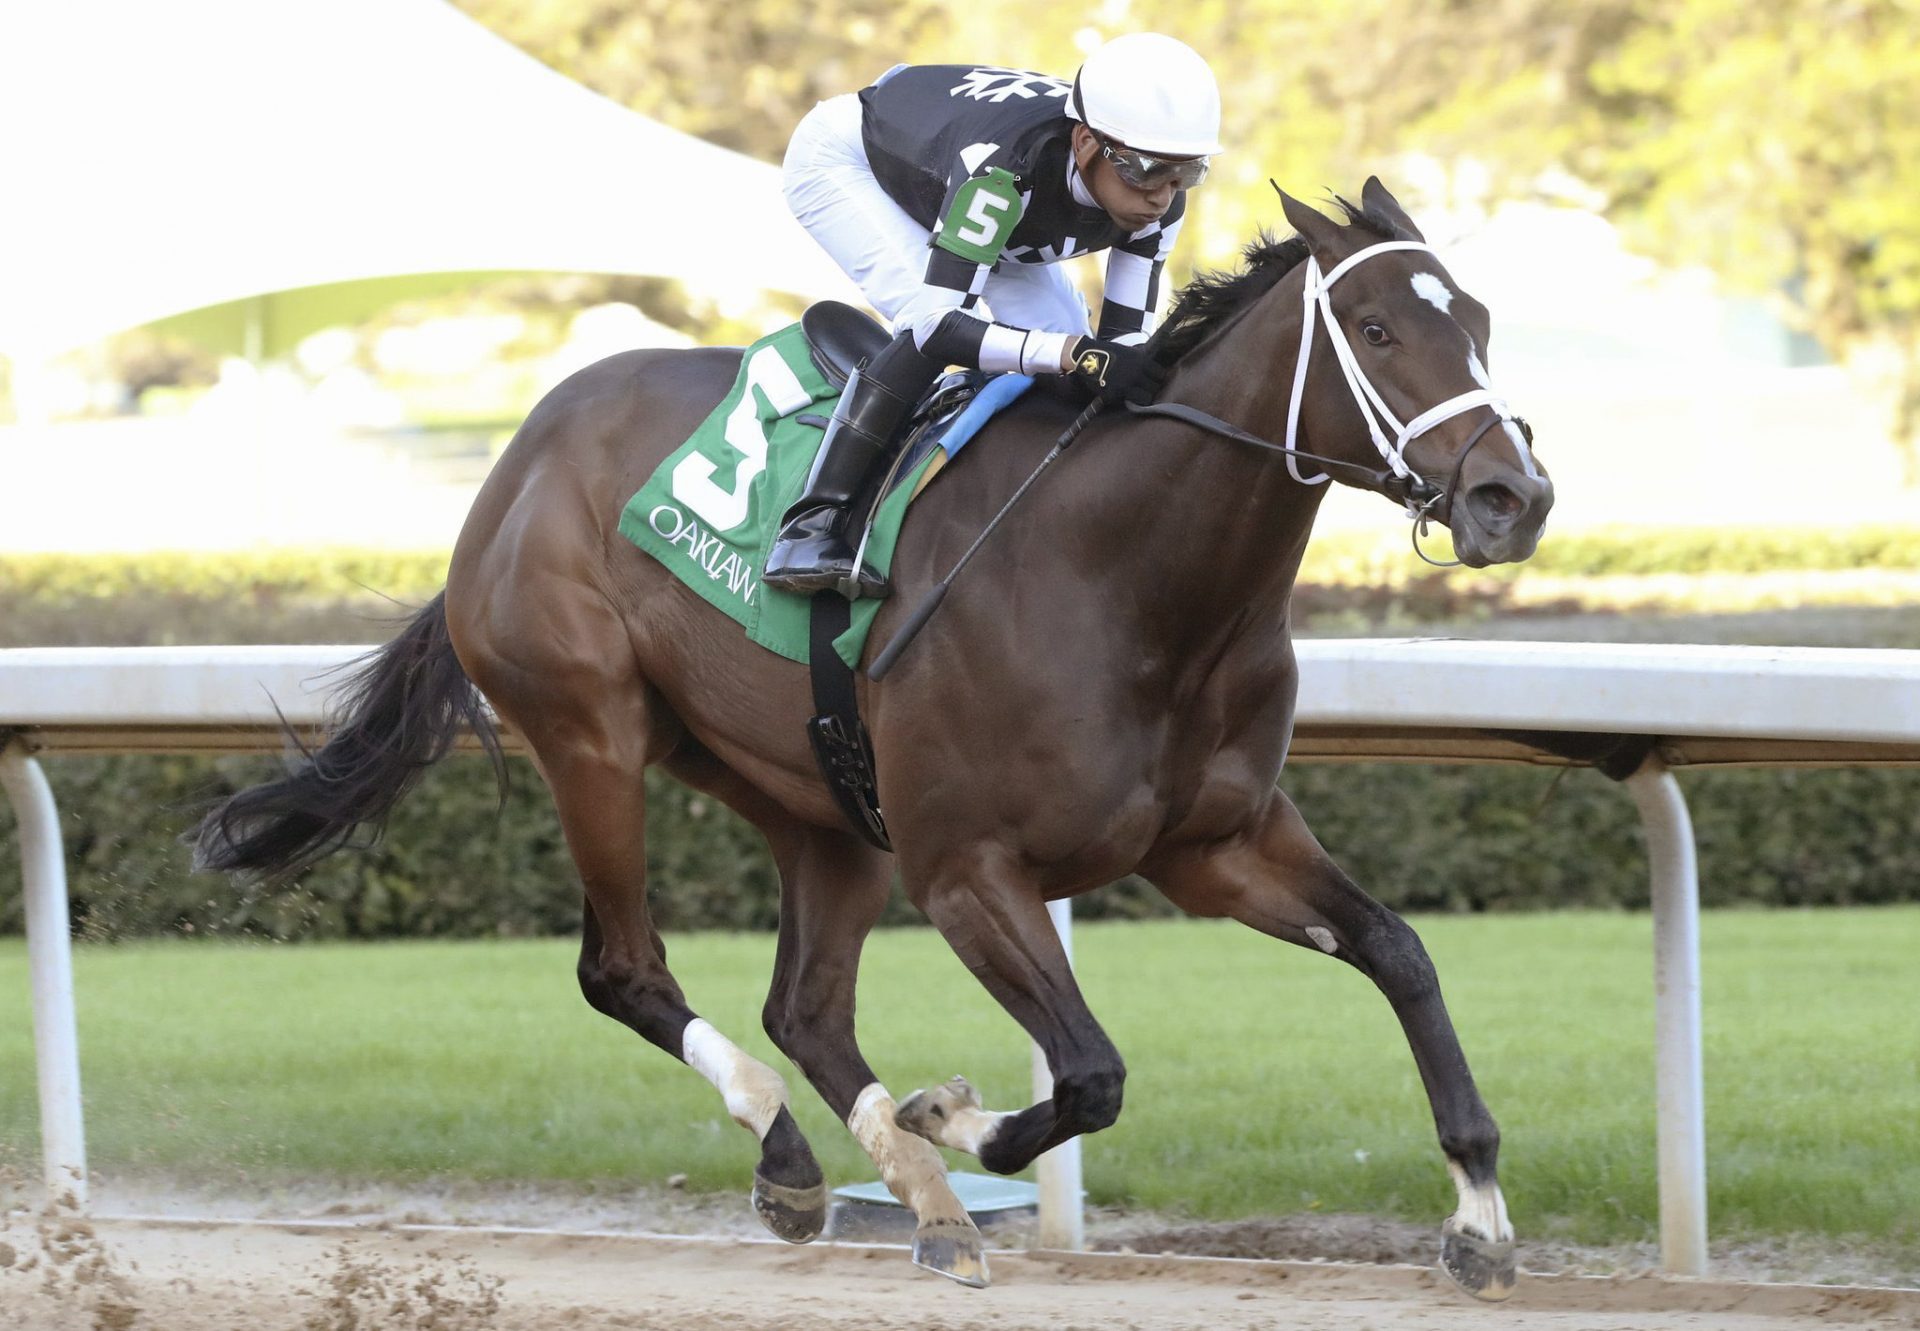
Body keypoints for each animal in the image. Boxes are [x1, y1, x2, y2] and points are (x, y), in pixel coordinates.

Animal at [194, 176, 1551, 1298]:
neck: (1129, 577)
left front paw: (1481, 1216)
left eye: (1480, 318)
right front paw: (950, 1114)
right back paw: (808, 1155)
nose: (1514, 496)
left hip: (814, 796)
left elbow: (1399, 952)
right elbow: (1092, 1072)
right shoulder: (966, 868)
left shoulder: (1219, 844)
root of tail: (516, 457)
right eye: (1375, 329)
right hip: (591, 731)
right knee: (625, 969)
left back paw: (921, 1201)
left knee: (804, 1007)